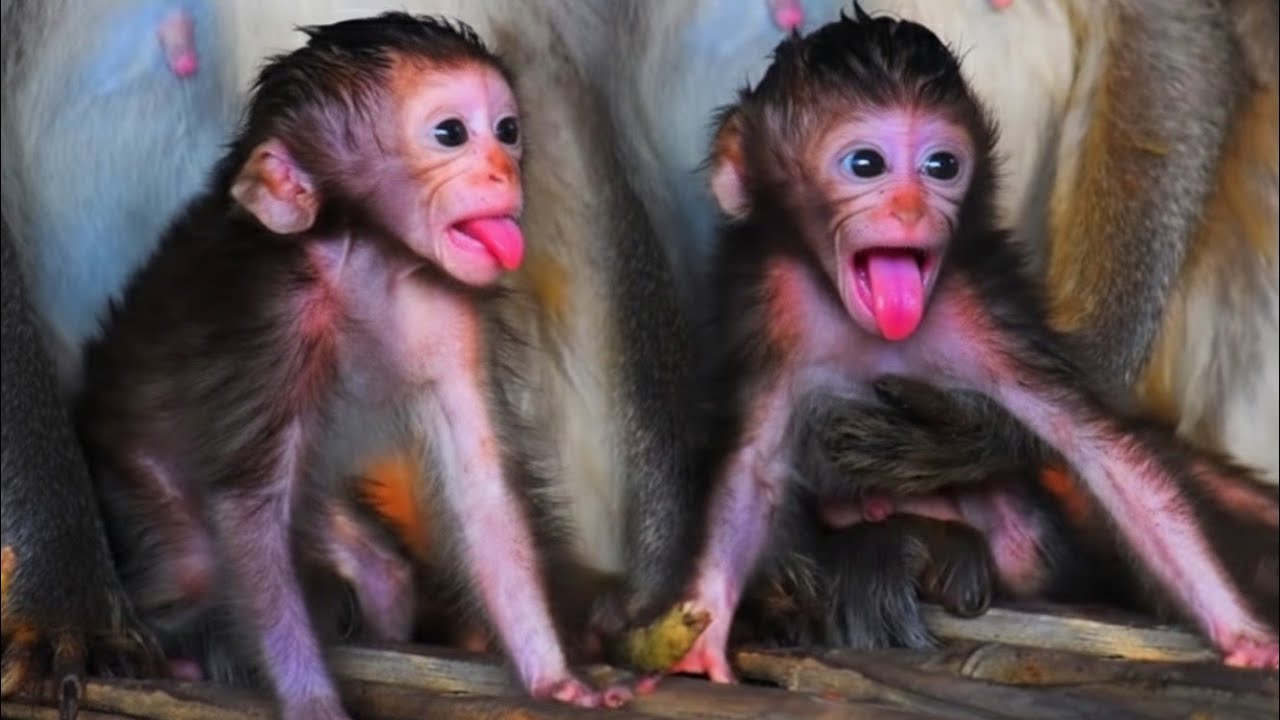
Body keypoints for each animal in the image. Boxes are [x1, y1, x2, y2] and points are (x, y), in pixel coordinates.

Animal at [76, 13, 634, 719]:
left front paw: (554, 676)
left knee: (379, 568)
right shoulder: (276, 324)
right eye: (451, 134)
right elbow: (248, 512)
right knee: (193, 563)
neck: (370, 259)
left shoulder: (451, 315)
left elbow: (482, 493)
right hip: (132, 459)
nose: (503, 173)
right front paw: (314, 703)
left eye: (507, 130)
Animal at [641, 9, 1279, 684]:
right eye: (865, 164)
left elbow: (1106, 456)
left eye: (942, 166)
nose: (911, 207)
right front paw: (702, 638)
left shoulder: (981, 320)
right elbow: (752, 472)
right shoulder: (776, 317)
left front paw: (1241, 633)